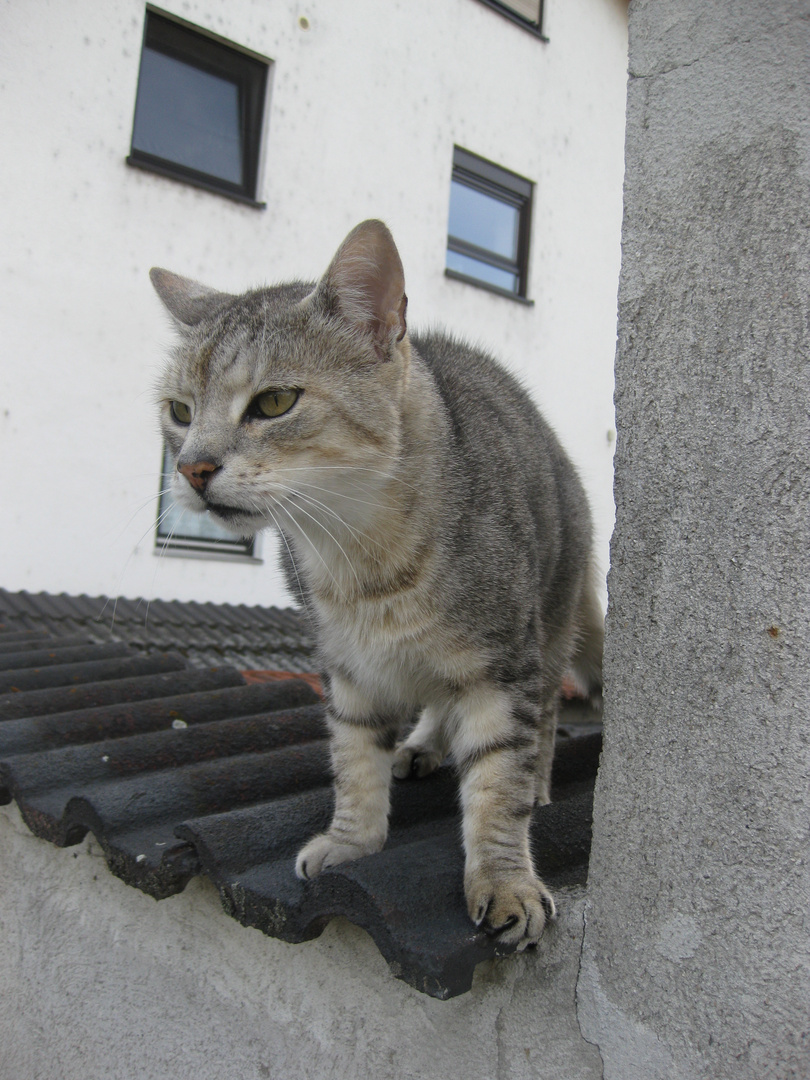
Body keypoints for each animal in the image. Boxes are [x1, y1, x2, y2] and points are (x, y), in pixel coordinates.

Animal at [151, 219, 604, 946]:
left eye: (274, 402)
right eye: (180, 411)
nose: (192, 468)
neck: (360, 556)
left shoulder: (503, 664)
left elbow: (496, 783)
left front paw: (505, 877)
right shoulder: (349, 667)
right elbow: (354, 759)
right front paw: (351, 840)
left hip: (552, 621)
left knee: (545, 713)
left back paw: (534, 778)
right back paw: (421, 746)